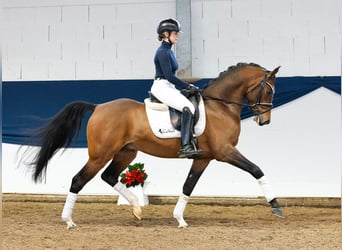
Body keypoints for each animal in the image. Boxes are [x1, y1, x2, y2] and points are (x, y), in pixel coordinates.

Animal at [24, 62, 284, 229]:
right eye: (268, 90)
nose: (265, 120)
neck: (220, 106)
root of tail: (98, 107)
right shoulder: (225, 152)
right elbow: (256, 170)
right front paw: (276, 206)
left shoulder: (203, 157)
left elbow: (188, 186)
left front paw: (179, 219)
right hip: (100, 155)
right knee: (78, 180)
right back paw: (69, 221)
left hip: (126, 153)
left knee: (109, 176)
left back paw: (136, 208)